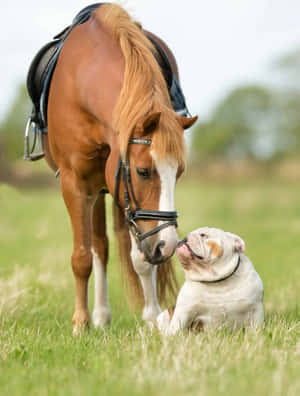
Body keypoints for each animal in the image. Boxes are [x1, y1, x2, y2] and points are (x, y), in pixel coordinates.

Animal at [42, 3, 197, 334]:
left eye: (178, 174)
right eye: (143, 171)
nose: (167, 245)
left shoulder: (127, 200)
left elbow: (140, 257)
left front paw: (152, 317)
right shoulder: (75, 184)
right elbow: (82, 256)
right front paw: (81, 324)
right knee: (99, 246)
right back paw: (99, 316)